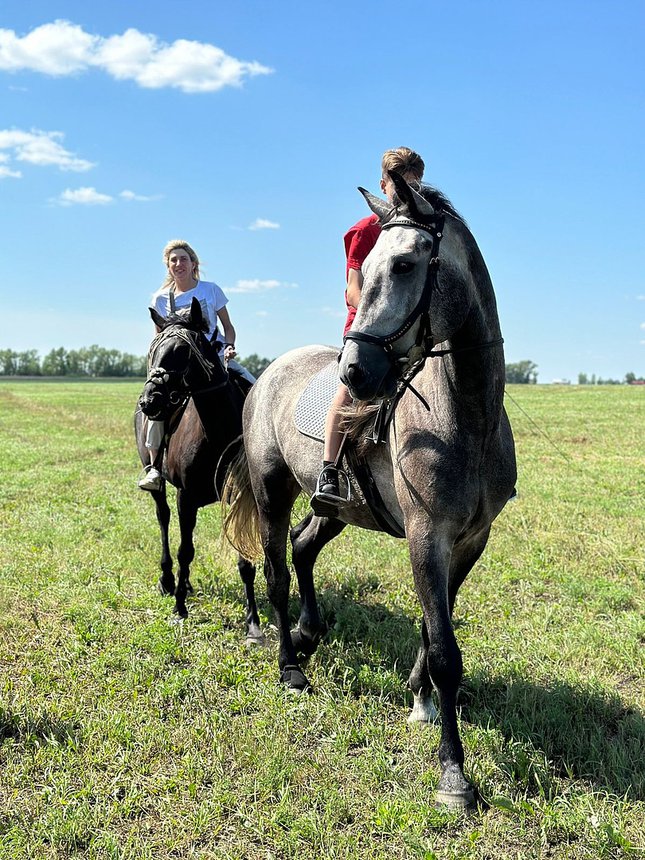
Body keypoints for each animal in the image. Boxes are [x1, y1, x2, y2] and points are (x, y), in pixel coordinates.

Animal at [133, 296, 262, 640]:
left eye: (182, 350)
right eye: (153, 349)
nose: (149, 401)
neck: (218, 430)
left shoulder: (240, 496)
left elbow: (244, 557)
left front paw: (253, 621)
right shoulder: (185, 496)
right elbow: (184, 550)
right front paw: (179, 608)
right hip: (159, 483)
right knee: (164, 521)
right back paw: (169, 581)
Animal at [224, 175, 516, 808]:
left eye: (405, 264)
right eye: (371, 263)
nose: (354, 371)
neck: (468, 419)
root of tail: (265, 374)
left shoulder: (469, 540)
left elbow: (435, 626)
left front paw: (420, 698)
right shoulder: (427, 535)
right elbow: (445, 650)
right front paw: (453, 773)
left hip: (333, 507)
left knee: (304, 547)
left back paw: (308, 633)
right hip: (270, 489)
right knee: (277, 573)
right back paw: (290, 666)